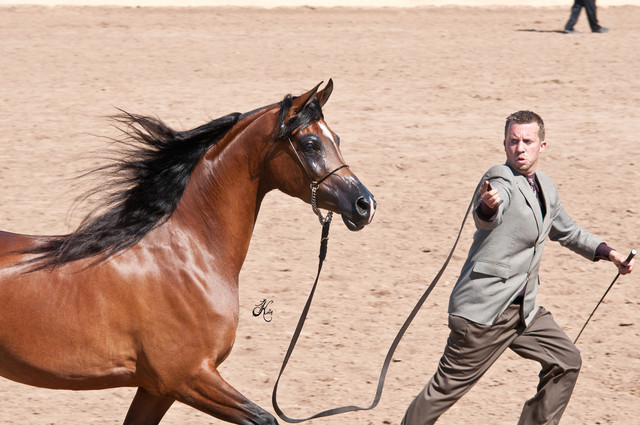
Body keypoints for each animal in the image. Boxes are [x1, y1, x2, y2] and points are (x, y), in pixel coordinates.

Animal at [0, 80, 376, 425]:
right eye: (310, 143)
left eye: (336, 138)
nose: (364, 204)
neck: (190, 257)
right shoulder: (188, 377)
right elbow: (265, 418)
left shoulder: (156, 389)